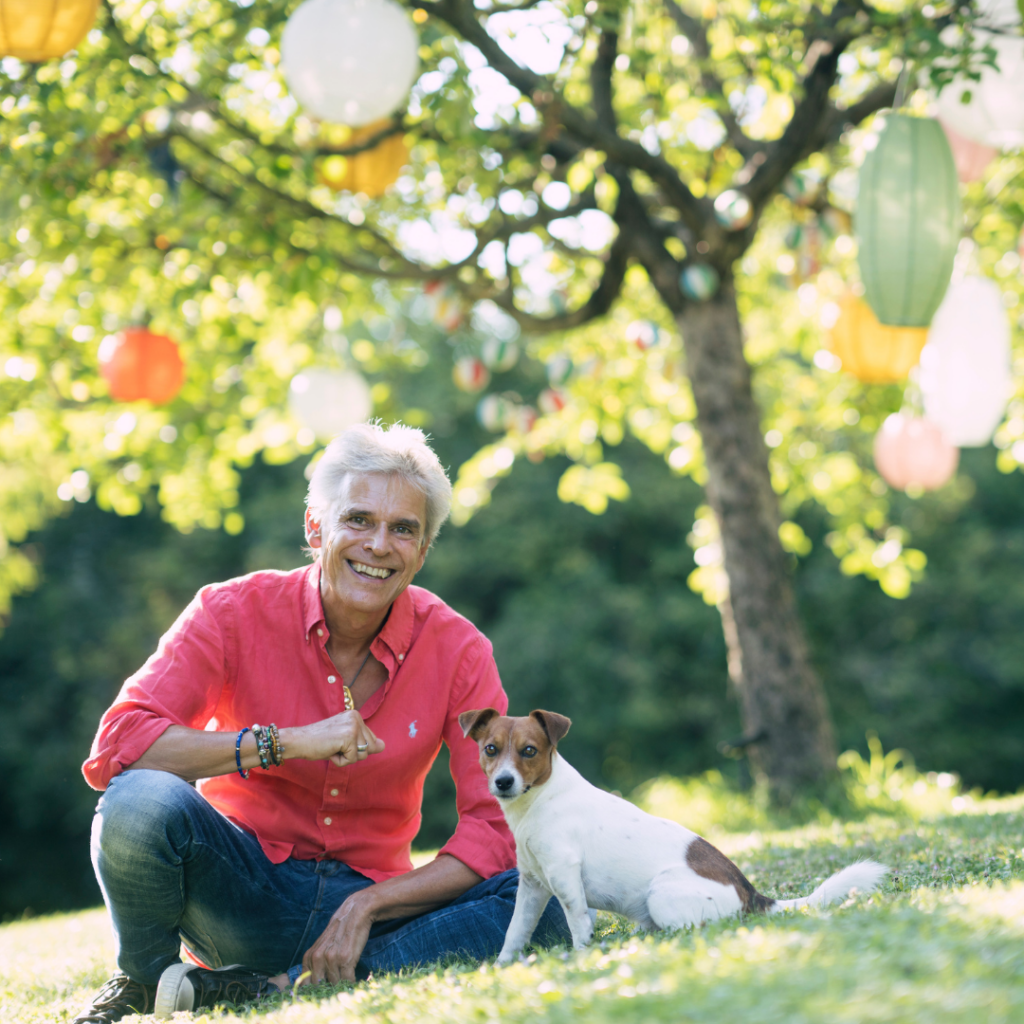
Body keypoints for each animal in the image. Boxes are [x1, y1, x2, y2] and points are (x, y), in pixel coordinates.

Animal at [460, 708, 892, 962]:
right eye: (490, 749)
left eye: (529, 751)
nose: (503, 782)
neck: (541, 800)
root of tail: (752, 895)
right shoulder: (532, 885)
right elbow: (515, 931)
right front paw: (502, 966)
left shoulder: (564, 877)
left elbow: (579, 924)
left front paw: (582, 959)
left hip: (661, 895)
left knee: (698, 929)